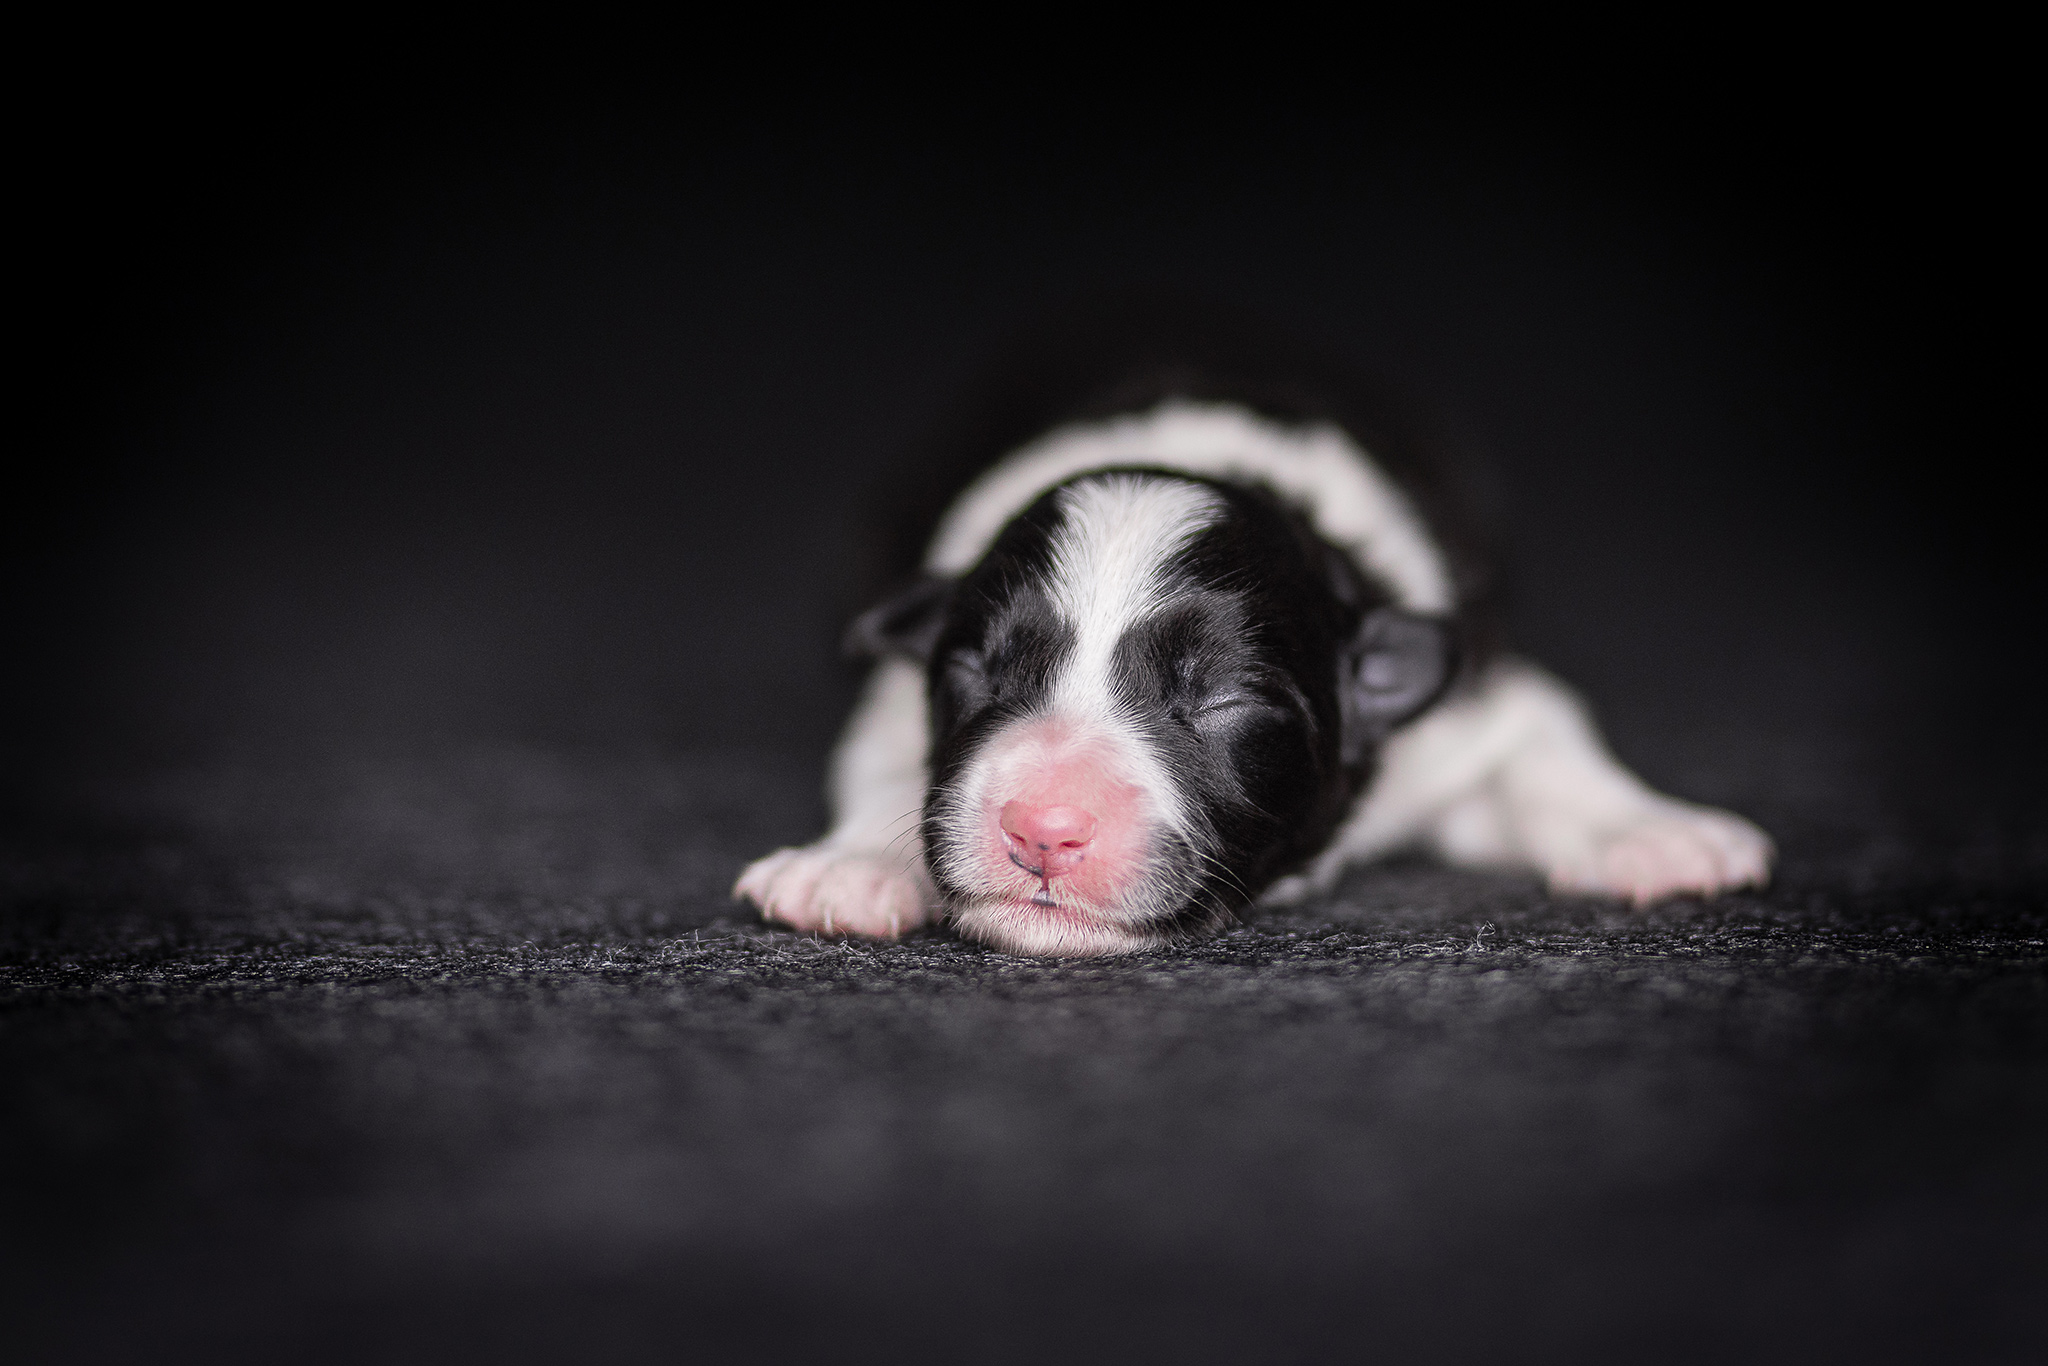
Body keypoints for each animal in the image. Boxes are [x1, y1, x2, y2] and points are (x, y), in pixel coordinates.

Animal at [741, 348, 1777, 958]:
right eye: (971, 673)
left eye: (1222, 702)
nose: (1041, 830)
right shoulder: (893, 701)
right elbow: (889, 763)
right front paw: (846, 865)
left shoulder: (1468, 704)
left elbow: (1545, 743)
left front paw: (1652, 832)